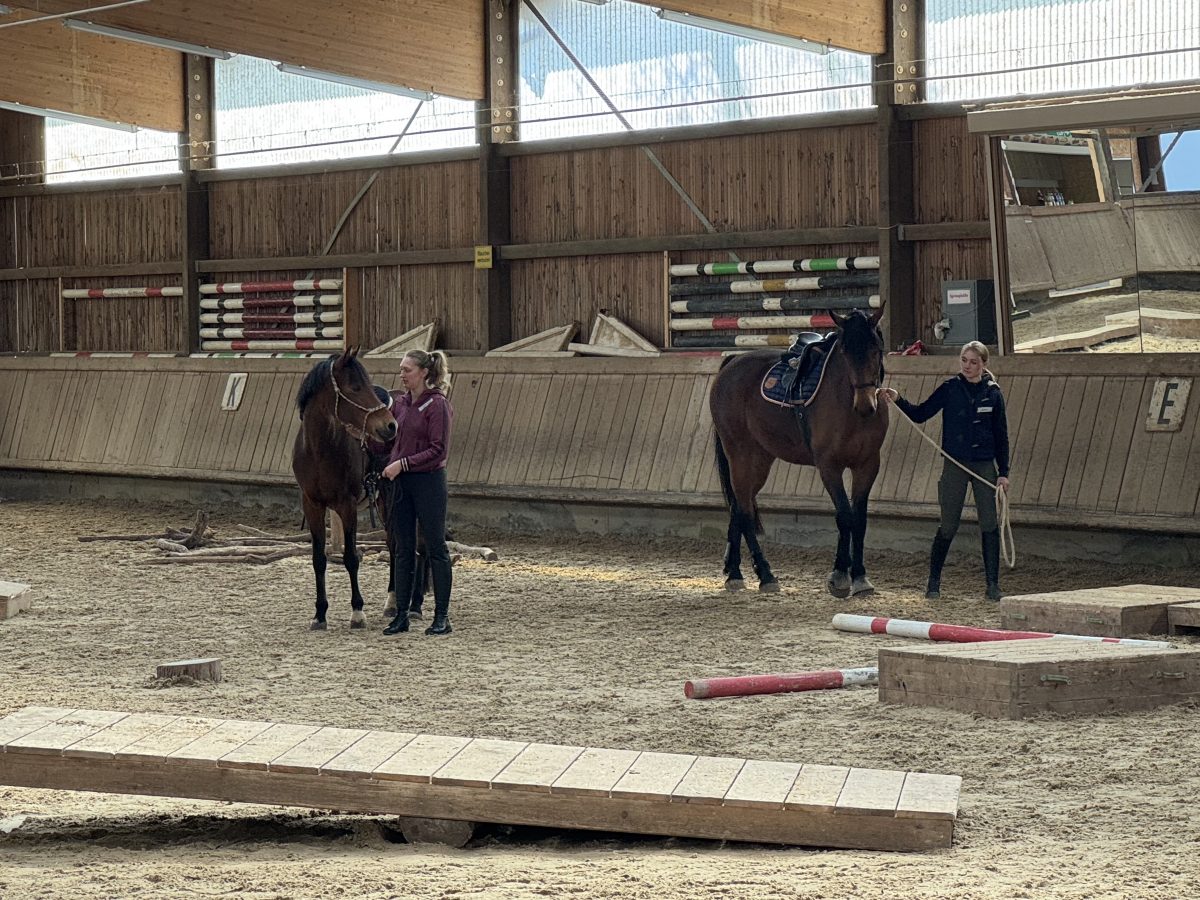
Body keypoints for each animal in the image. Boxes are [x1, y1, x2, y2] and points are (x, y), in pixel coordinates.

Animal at [292, 348, 397, 630]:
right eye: (355, 387)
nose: (390, 426)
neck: (319, 450)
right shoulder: (312, 505)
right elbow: (318, 560)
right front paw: (320, 614)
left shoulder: (346, 505)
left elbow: (351, 557)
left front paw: (357, 612)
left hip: (389, 501)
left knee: (397, 545)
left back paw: (393, 601)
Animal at [709, 307, 888, 598]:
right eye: (845, 351)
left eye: (876, 349)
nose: (865, 405)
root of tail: (732, 363)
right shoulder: (829, 466)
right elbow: (844, 516)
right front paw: (840, 577)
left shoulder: (868, 465)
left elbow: (859, 519)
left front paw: (861, 577)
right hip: (740, 454)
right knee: (745, 512)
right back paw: (765, 575)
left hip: (759, 460)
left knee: (738, 505)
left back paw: (734, 572)